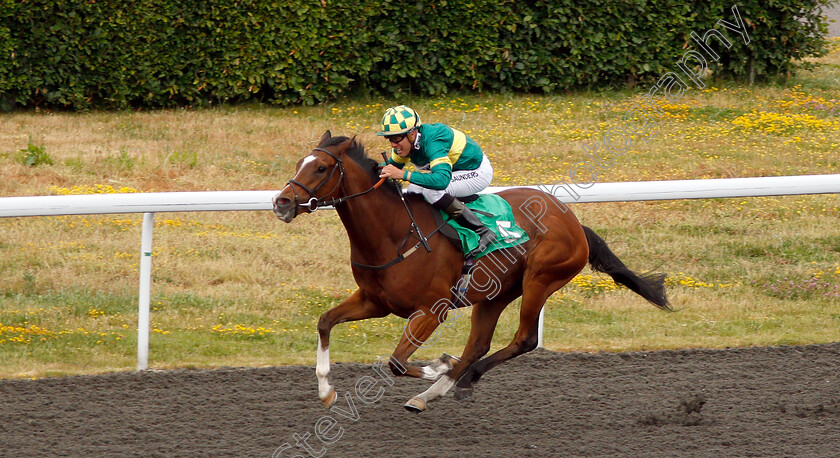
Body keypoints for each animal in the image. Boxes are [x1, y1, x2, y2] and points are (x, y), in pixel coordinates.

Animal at [272, 131, 672, 414]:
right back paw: (443, 387)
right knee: (479, 343)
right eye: (300, 162)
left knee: (524, 339)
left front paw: (437, 367)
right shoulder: (375, 301)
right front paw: (326, 391)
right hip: (496, 293)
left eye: (321, 168)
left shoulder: (431, 309)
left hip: (540, 279)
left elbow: (397, 362)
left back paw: (456, 379)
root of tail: (573, 220)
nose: (282, 202)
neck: (394, 233)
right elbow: (325, 322)